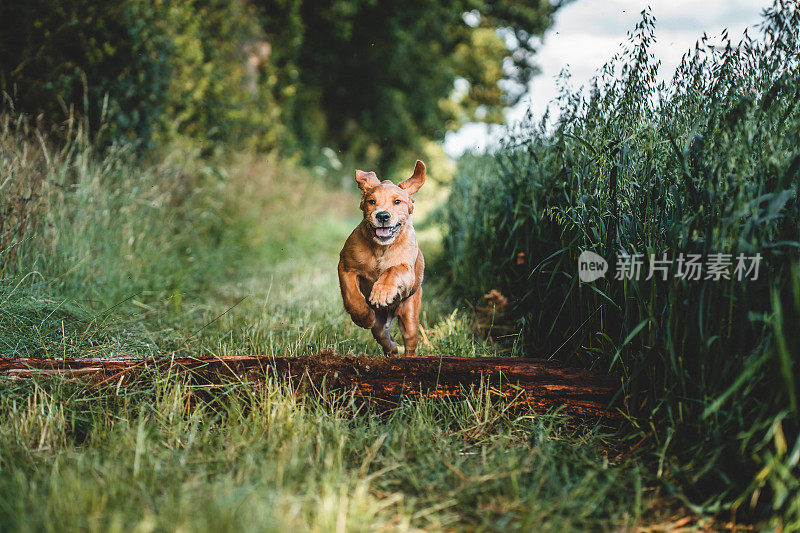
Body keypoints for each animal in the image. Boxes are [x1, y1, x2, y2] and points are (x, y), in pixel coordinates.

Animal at [336, 160, 424, 356]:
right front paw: (364, 317)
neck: (380, 248)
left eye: (397, 202)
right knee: (385, 337)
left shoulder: (407, 271)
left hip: (410, 313)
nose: (382, 215)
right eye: (371, 202)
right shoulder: (346, 266)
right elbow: (351, 296)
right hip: (380, 325)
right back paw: (392, 349)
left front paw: (382, 290)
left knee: (410, 342)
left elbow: (393, 269)